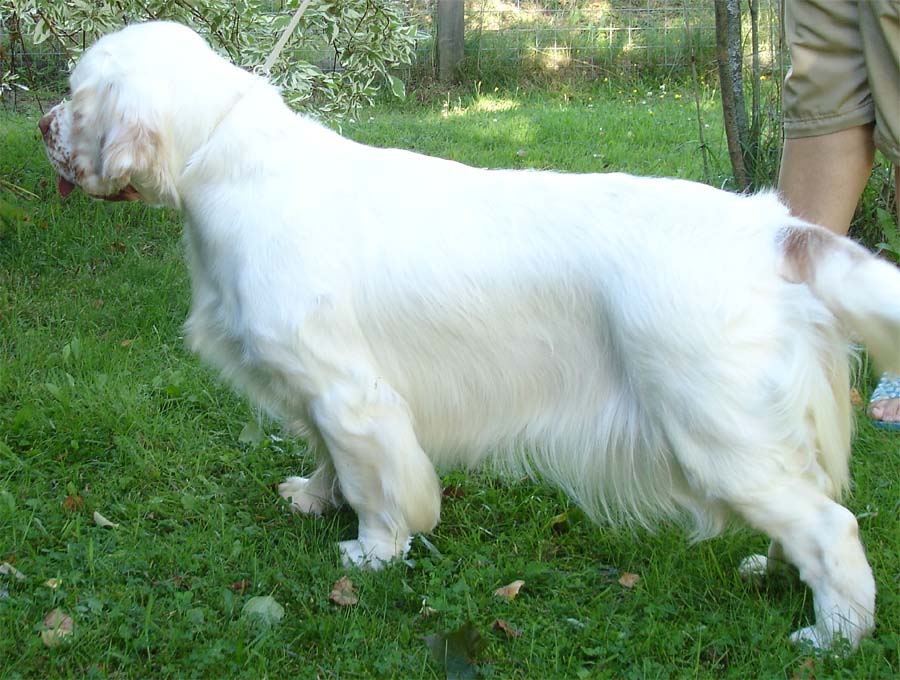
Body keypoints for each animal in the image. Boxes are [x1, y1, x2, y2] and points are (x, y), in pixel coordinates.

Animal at [39, 21, 900, 649]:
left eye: (76, 94)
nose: (45, 126)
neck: (225, 156)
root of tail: (774, 230)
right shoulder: (318, 392)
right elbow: (328, 460)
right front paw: (312, 500)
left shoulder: (349, 391)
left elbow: (376, 484)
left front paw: (370, 552)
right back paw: (774, 574)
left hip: (715, 428)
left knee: (832, 526)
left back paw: (832, 635)